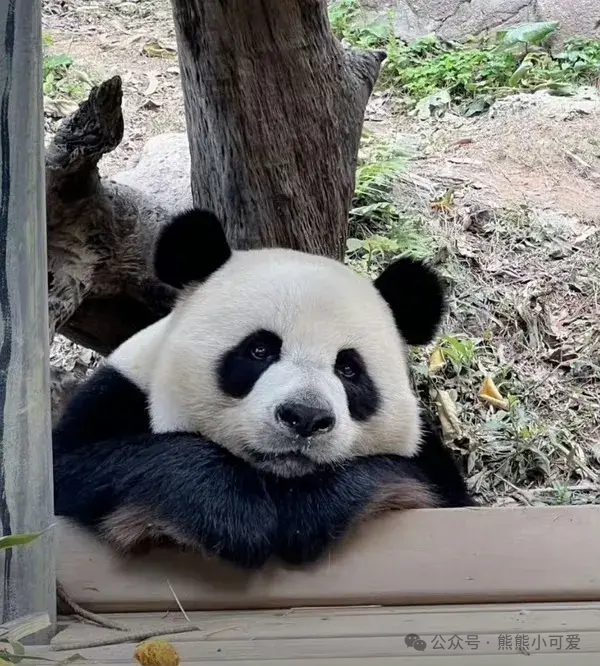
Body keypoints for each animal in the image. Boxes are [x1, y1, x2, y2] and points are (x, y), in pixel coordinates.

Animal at [54, 206, 476, 564]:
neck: (276, 477)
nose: (305, 417)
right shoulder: (117, 394)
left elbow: (414, 479)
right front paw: (234, 513)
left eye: (349, 369)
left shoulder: (430, 462)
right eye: (260, 349)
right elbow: (76, 468)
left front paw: (311, 510)